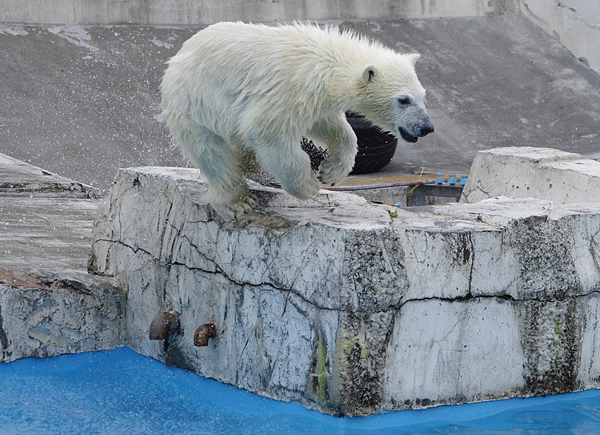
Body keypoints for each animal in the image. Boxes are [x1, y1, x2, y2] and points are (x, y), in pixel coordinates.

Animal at [161, 21, 432, 220]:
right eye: (403, 100)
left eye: (423, 96)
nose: (427, 127)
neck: (327, 63)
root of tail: (177, 56)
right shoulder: (289, 91)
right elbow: (267, 132)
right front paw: (309, 185)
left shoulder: (316, 99)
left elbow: (333, 127)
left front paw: (331, 171)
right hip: (195, 103)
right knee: (211, 153)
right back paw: (238, 201)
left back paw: (255, 170)